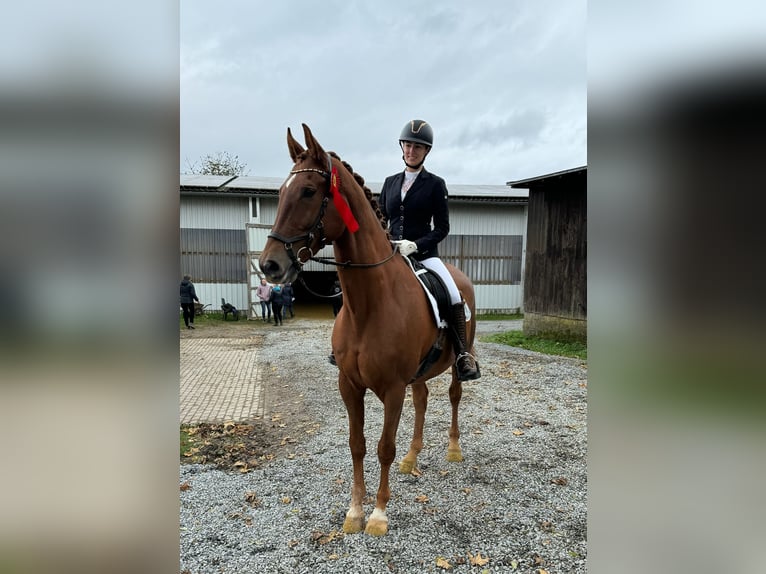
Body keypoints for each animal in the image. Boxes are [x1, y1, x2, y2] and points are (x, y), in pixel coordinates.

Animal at [260, 124, 476, 536]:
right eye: (280, 192)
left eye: (308, 191)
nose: (269, 266)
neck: (369, 305)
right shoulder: (349, 385)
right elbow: (357, 444)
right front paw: (355, 511)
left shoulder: (392, 389)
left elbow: (383, 447)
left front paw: (377, 515)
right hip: (417, 374)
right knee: (423, 398)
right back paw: (412, 458)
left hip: (459, 358)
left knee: (455, 395)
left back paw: (453, 450)